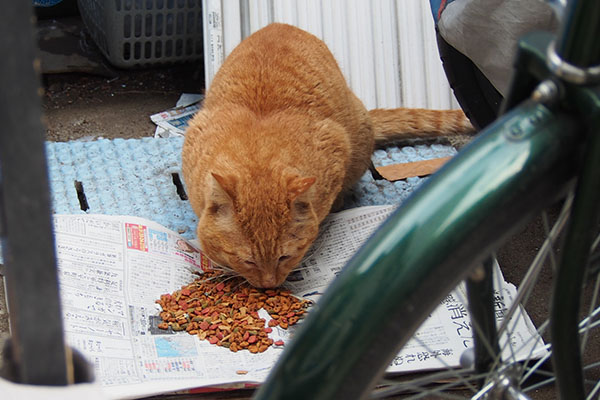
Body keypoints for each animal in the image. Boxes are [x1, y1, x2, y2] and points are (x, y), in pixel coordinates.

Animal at [180, 22, 472, 288]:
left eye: (285, 257)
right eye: (248, 261)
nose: (269, 285)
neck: (257, 148)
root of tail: (280, 24)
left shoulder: (336, 145)